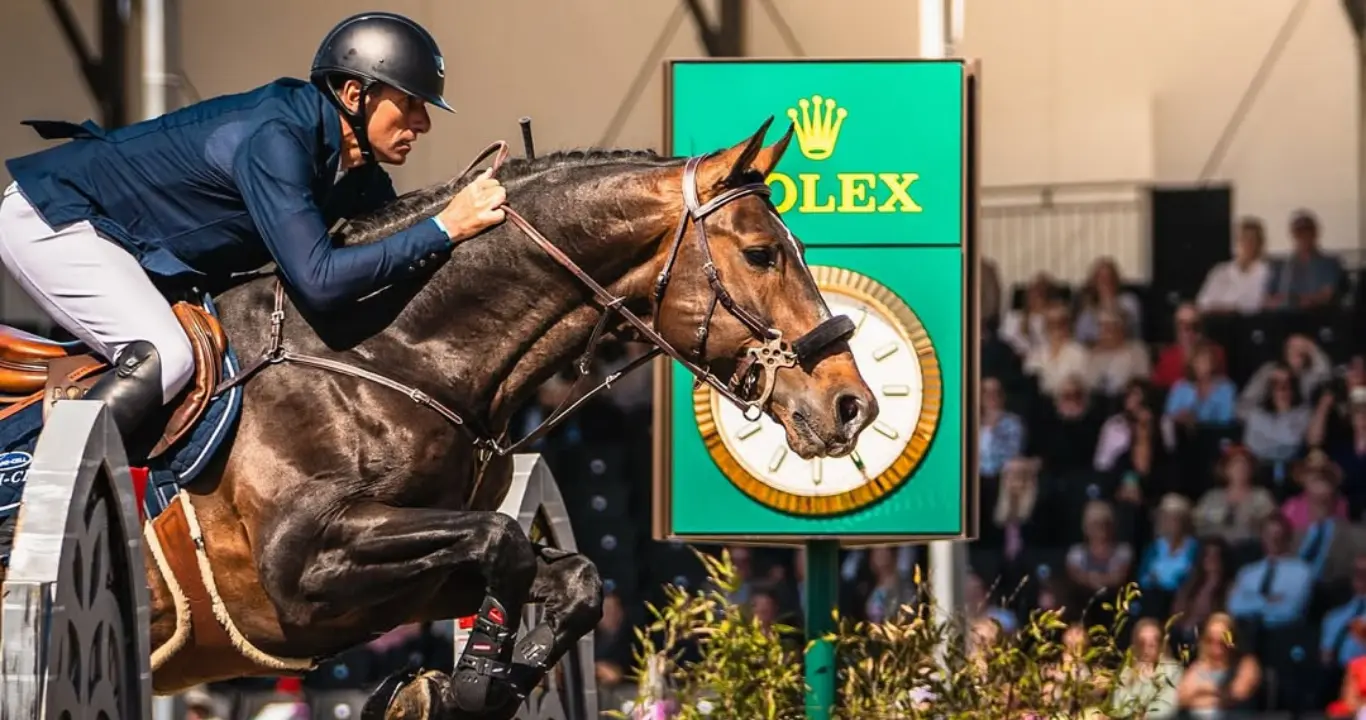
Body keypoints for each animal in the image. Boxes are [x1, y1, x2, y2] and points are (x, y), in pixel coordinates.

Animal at [4, 117, 878, 719]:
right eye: (762, 253)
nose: (852, 405)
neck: (388, 353)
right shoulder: (303, 568)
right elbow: (502, 543)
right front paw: (470, 684)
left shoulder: (391, 586)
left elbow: (568, 575)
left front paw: (473, 683)